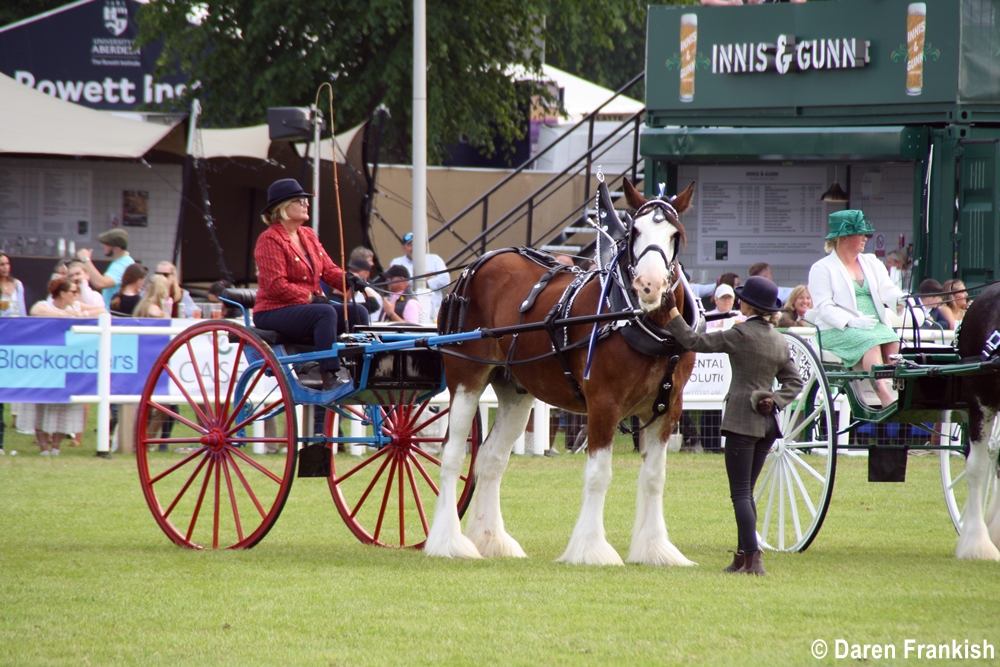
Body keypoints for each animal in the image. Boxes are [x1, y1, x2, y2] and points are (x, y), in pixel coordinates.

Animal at [424, 178, 699, 565]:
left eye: (675, 234)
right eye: (635, 231)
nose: (649, 285)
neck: (635, 320)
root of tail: (479, 263)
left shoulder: (667, 409)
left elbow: (654, 477)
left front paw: (655, 548)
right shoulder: (603, 403)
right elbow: (599, 474)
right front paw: (591, 549)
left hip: (515, 390)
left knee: (491, 458)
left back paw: (493, 540)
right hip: (466, 379)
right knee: (452, 454)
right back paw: (447, 542)